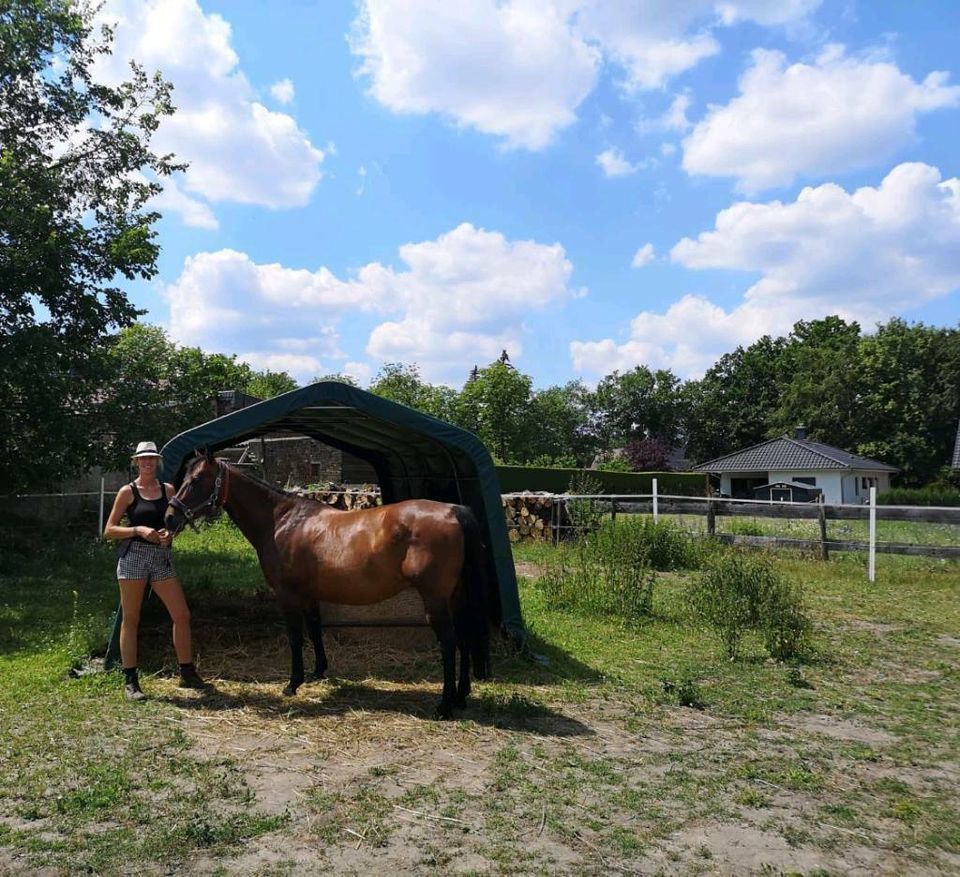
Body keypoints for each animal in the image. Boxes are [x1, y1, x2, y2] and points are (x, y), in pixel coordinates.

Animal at [164, 452, 488, 720]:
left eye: (196, 480)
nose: (170, 517)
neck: (282, 520)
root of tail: (454, 511)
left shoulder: (287, 596)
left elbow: (296, 638)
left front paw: (292, 683)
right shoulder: (310, 596)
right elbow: (315, 629)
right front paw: (318, 671)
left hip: (435, 600)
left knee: (449, 642)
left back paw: (444, 706)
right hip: (456, 596)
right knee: (465, 638)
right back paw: (461, 696)